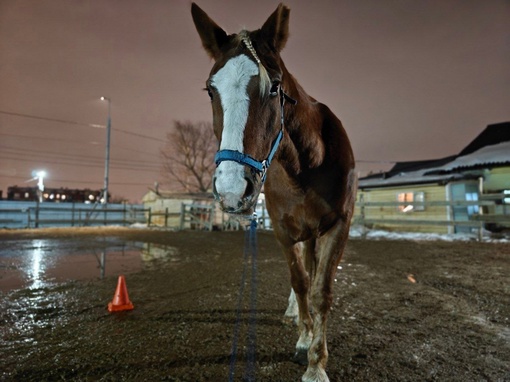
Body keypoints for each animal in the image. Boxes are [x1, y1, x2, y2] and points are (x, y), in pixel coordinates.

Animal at [190, 3, 354, 382]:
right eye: (210, 90)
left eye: (275, 87)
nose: (232, 189)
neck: (306, 166)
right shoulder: (282, 231)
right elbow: (300, 281)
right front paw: (304, 340)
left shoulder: (338, 226)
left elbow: (321, 290)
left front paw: (316, 364)